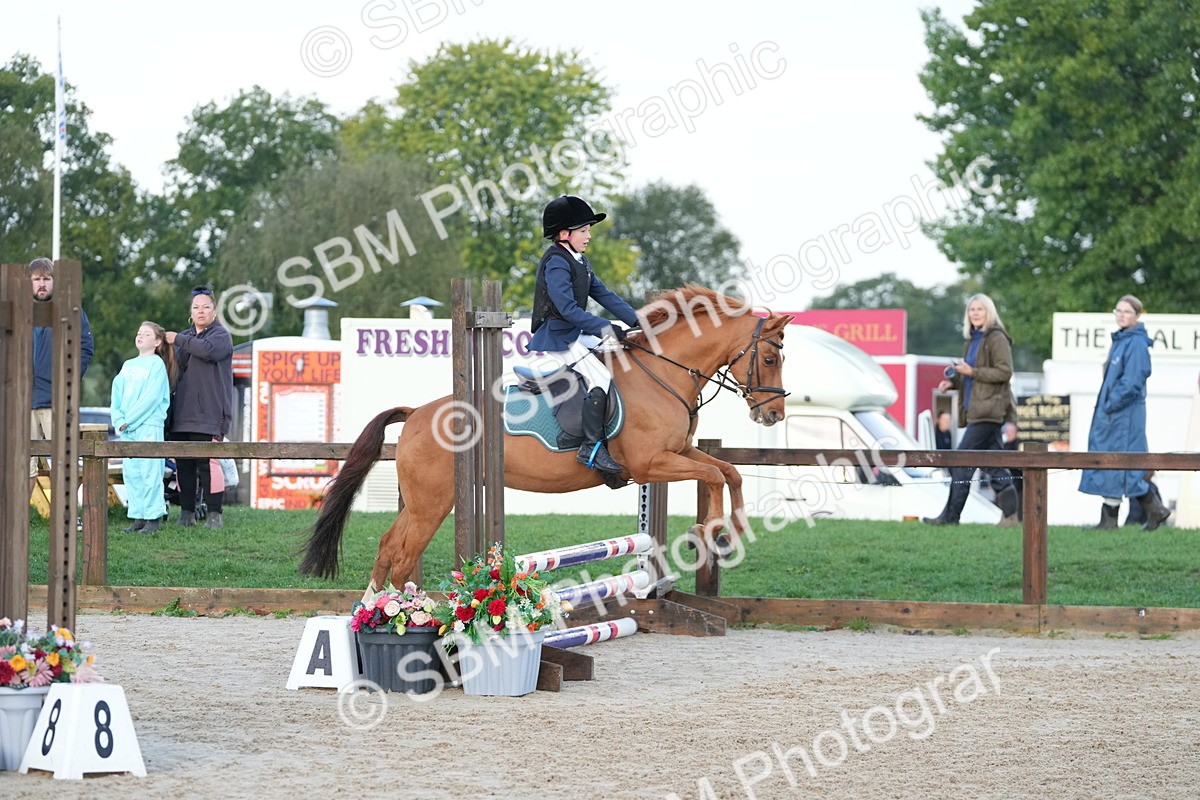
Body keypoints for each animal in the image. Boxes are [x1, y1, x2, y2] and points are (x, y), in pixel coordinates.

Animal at [300, 285, 793, 594]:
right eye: (770, 358)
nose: (773, 414)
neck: (662, 374)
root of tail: (417, 413)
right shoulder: (650, 463)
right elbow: (713, 474)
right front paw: (710, 531)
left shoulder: (677, 452)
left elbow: (728, 471)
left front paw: (732, 528)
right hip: (434, 503)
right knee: (404, 555)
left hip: (426, 501)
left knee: (388, 547)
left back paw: (371, 612)